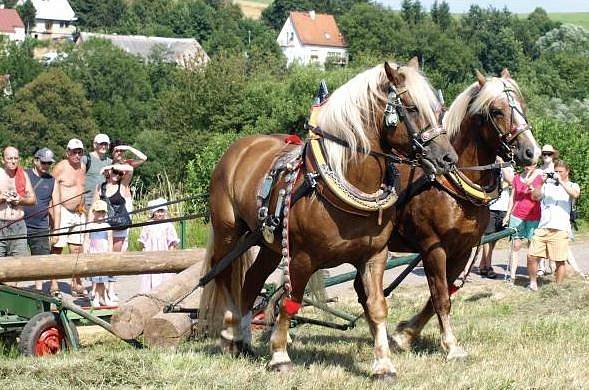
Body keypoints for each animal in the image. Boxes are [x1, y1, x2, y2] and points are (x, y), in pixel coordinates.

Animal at [200, 59, 458, 380]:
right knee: (222, 275)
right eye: (411, 109)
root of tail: (239, 148)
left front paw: (383, 364)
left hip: (270, 244)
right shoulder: (301, 258)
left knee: (251, 281)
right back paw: (229, 333)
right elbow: (290, 302)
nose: (448, 159)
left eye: (438, 110)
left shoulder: (374, 255)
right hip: (228, 232)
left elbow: (377, 306)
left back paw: (244, 339)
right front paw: (280, 355)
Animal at [382, 69, 536, 360]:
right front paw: (451, 346)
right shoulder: (433, 248)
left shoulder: (462, 250)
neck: (451, 185)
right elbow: (440, 297)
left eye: (521, 106)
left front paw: (405, 335)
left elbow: (438, 298)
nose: (530, 151)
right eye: (497, 111)